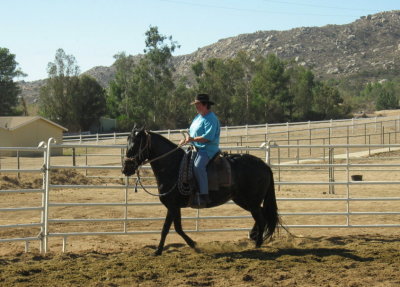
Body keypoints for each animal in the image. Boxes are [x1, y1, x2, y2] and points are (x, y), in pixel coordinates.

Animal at [122, 127, 278, 255]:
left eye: (135, 145)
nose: (126, 168)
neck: (174, 167)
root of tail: (264, 165)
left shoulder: (172, 206)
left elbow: (168, 228)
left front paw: (160, 250)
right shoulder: (175, 207)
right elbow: (175, 228)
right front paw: (191, 244)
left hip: (251, 201)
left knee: (261, 218)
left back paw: (257, 244)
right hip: (244, 200)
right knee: (262, 215)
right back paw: (254, 236)